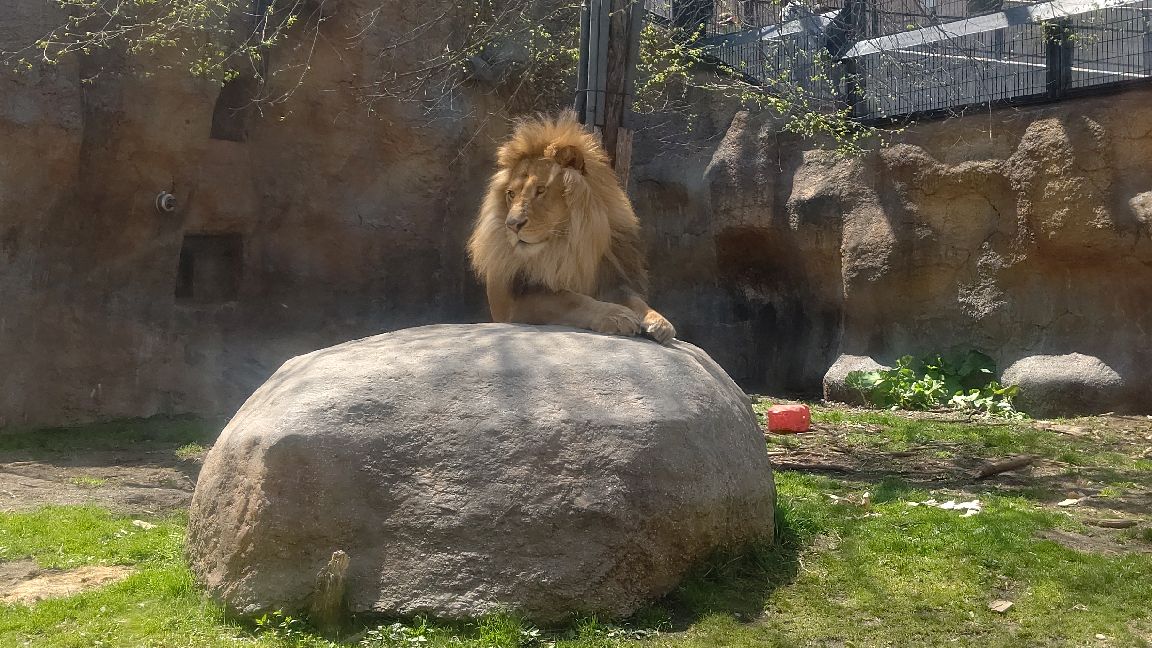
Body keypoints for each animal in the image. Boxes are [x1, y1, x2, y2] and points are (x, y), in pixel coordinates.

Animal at [467, 111, 672, 345]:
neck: (569, 244)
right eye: (511, 194)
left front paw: (658, 322)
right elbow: (571, 299)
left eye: (540, 190)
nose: (512, 225)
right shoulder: (518, 303)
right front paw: (617, 315)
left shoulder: (611, 277)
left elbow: (634, 299)